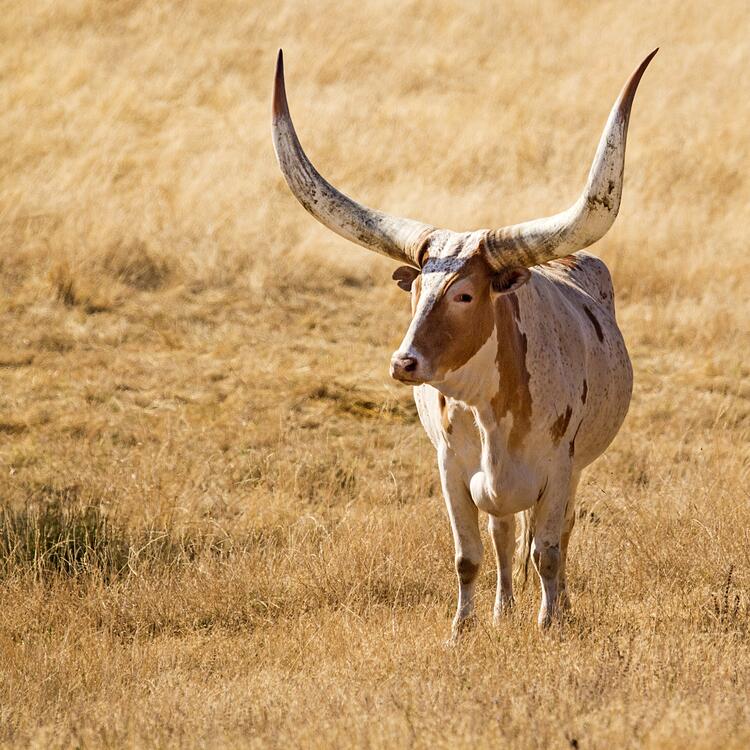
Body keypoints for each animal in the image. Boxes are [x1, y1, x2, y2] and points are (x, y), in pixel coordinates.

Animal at [272, 50, 656, 636]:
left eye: (466, 294)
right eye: (417, 290)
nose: (403, 363)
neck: (491, 408)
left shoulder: (559, 470)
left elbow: (548, 551)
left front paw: (550, 625)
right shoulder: (452, 470)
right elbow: (469, 555)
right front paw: (463, 629)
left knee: (557, 536)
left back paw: (557, 607)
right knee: (502, 535)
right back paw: (503, 610)